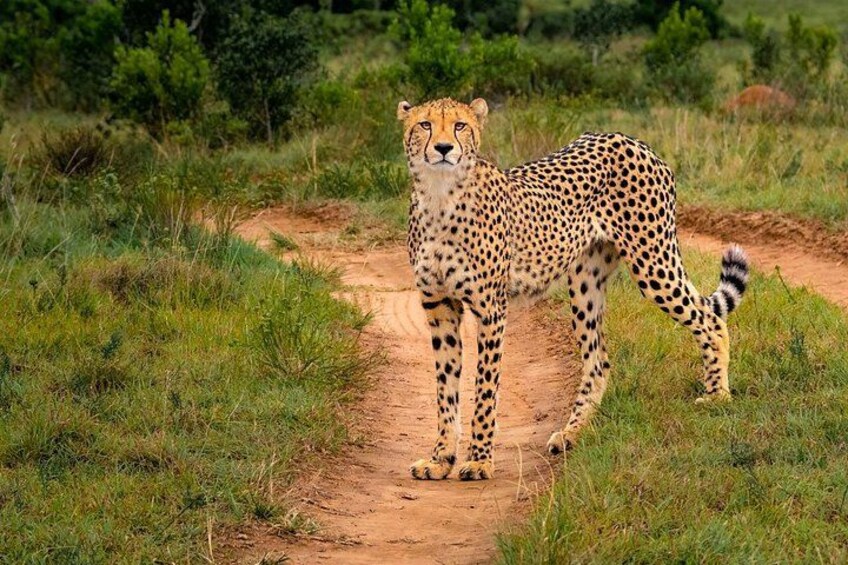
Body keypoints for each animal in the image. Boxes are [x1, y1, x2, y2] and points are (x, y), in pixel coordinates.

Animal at [398, 97, 749, 481]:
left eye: (460, 125)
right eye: (425, 125)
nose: (444, 148)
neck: (439, 196)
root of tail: (629, 139)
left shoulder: (491, 309)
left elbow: (485, 388)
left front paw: (479, 460)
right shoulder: (439, 308)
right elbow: (445, 390)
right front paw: (441, 458)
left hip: (653, 262)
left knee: (708, 318)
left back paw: (717, 395)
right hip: (585, 283)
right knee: (599, 361)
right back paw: (572, 432)